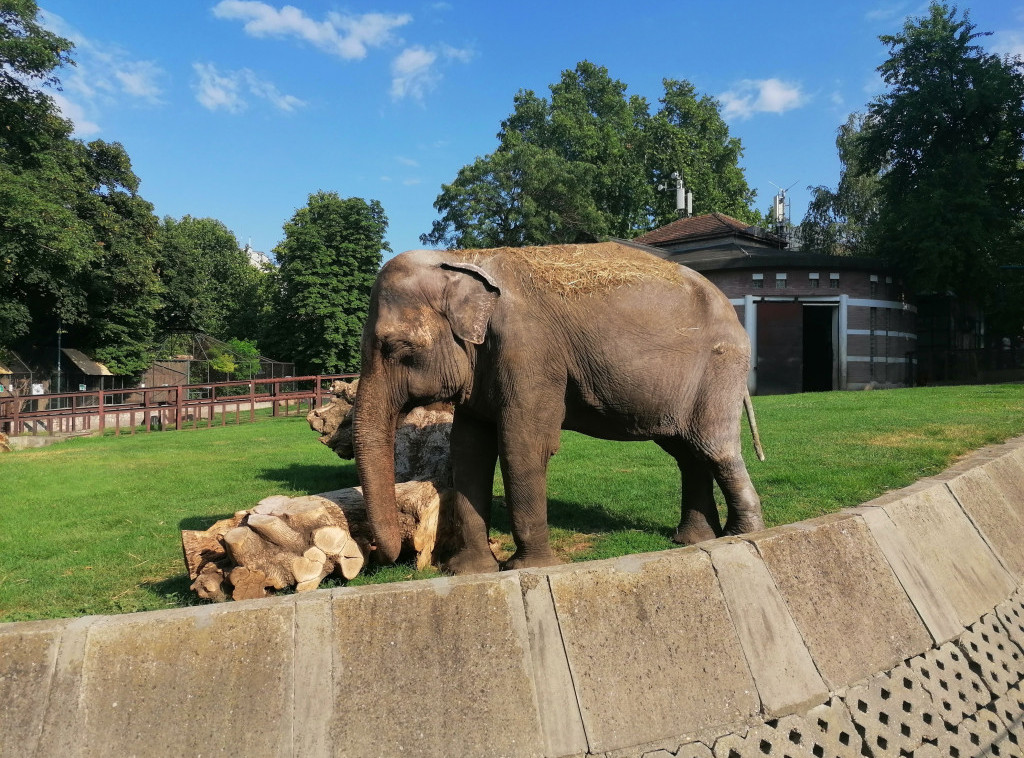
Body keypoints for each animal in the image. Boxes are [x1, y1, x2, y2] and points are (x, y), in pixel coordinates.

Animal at [352, 242, 761, 573]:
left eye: (397, 347)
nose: (378, 551)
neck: (462, 259)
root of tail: (731, 309)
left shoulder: (528, 351)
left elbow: (523, 447)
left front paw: (526, 567)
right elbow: (469, 452)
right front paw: (469, 571)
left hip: (720, 366)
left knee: (714, 447)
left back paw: (741, 535)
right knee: (687, 450)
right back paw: (694, 540)